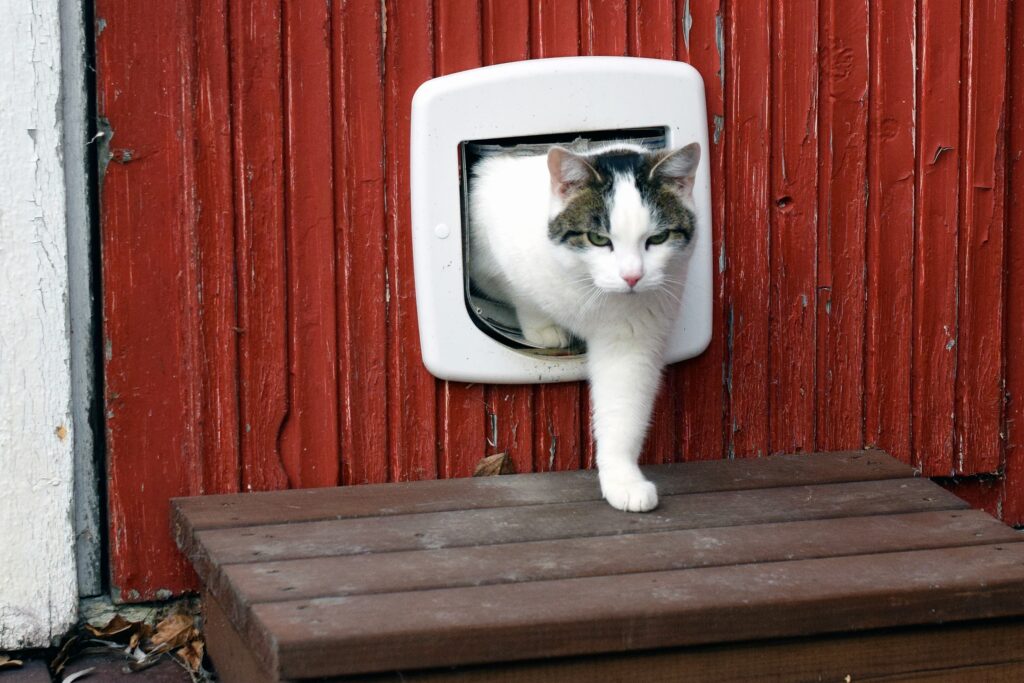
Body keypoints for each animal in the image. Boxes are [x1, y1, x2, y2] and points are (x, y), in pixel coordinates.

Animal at [468, 141, 700, 509]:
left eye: (660, 238)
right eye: (598, 239)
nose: (632, 276)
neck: (586, 286)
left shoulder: (630, 340)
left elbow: (623, 409)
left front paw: (622, 480)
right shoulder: (494, 244)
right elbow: (520, 294)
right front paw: (543, 328)